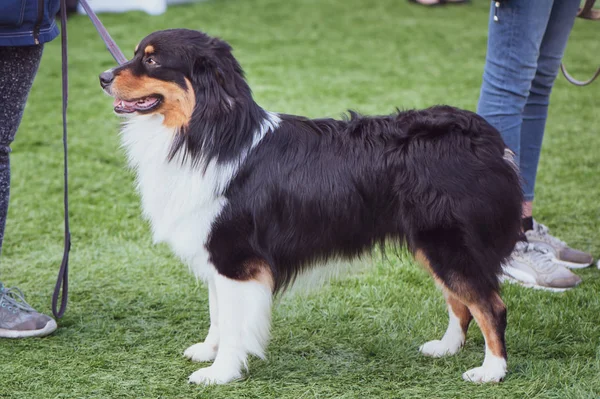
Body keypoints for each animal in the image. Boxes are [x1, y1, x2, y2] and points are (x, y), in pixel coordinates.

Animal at [101, 29, 524, 386]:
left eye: (152, 61)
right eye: (137, 54)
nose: (103, 77)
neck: (207, 132)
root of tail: (491, 142)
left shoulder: (236, 258)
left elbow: (234, 322)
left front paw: (220, 372)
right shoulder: (217, 254)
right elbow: (217, 312)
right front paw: (209, 351)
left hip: (449, 243)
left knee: (491, 306)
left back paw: (492, 370)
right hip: (433, 245)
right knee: (460, 301)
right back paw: (446, 348)